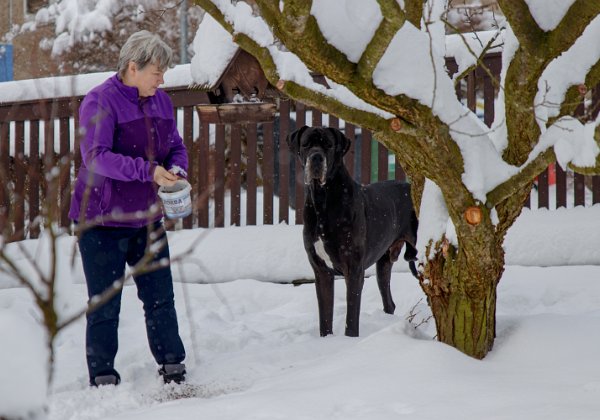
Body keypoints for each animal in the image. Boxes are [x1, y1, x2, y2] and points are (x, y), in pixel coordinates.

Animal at [286, 125, 418, 338]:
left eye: (328, 145)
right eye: (306, 144)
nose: (316, 157)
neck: (323, 199)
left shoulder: (354, 268)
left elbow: (352, 314)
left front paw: (349, 340)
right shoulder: (321, 271)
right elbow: (325, 315)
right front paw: (326, 340)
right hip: (384, 262)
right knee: (389, 300)